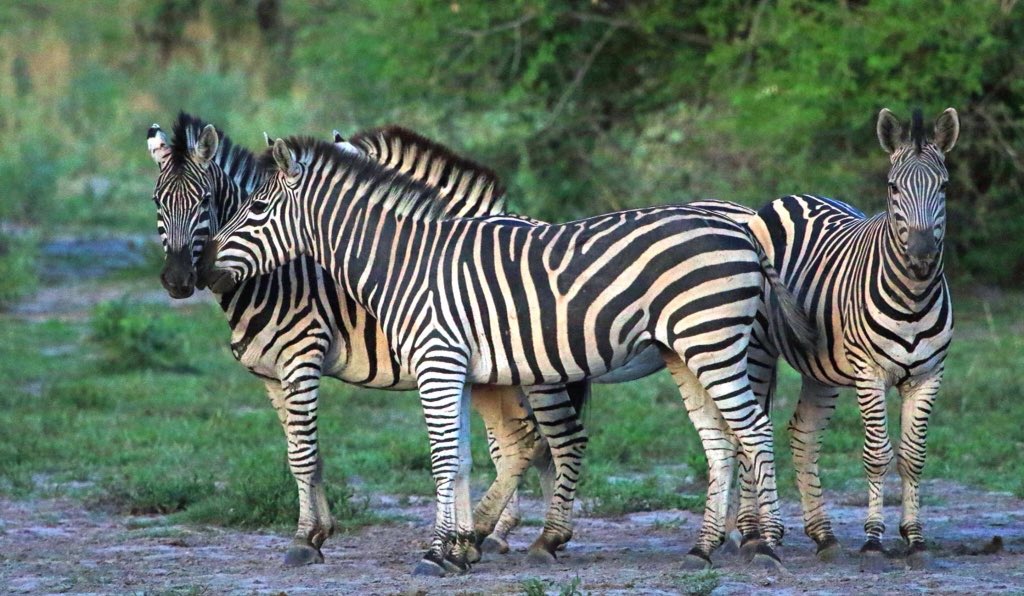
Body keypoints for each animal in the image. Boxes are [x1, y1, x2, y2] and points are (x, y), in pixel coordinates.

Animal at [145, 113, 579, 567]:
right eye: (157, 202)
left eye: (205, 202)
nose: (179, 281)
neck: (274, 279)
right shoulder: (271, 375)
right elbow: (303, 454)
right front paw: (318, 532)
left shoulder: (302, 358)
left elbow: (303, 455)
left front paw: (304, 540)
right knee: (524, 443)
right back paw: (504, 534)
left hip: (538, 368)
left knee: (558, 439)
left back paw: (539, 537)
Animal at [199, 135, 817, 575]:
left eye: (257, 207)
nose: (200, 269)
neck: (403, 265)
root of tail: (745, 231)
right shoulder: (454, 370)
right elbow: (466, 460)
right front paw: (456, 548)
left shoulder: (439, 363)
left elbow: (447, 460)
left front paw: (439, 551)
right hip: (684, 350)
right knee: (720, 440)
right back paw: (703, 549)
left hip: (712, 339)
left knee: (753, 430)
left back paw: (766, 546)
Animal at [727, 107, 958, 568]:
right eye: (892, 187)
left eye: (943, 186)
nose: (922, 255)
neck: (914, 296)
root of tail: (791, 197)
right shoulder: (869, 373)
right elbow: (877, 454)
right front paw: (873, 540)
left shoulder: (928, 377)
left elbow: (913, 457)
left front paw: (915, 540)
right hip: (758, 350)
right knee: (747, 434)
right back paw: (753, 536)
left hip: (822, 367)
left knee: (803, 434)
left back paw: (823, 536)